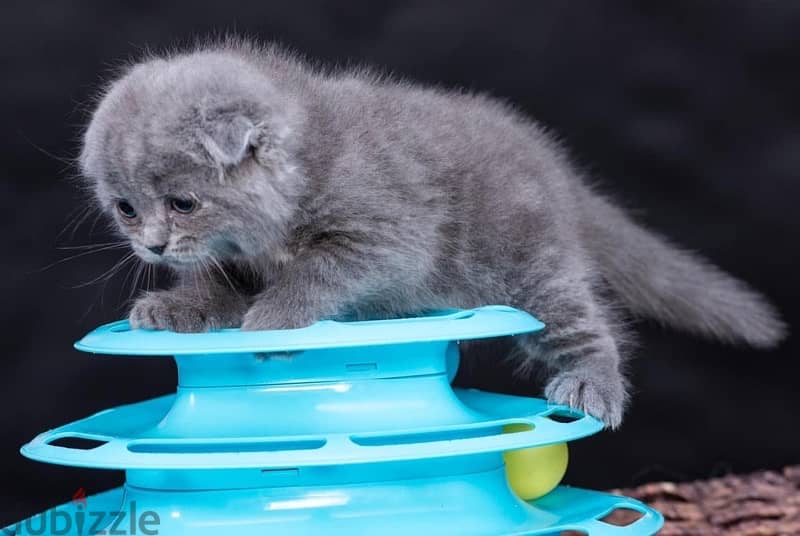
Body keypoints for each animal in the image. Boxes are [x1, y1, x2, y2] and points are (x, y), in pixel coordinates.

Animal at [78, 39, 784, 428]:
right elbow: (220, 284)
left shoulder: (391, 234)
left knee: (584, 324)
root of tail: (555, 168)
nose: (152, 246)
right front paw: (176, 306)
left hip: (530, 260)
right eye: (126, 208)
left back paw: (591, 387)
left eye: (183, 202)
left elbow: (322, 269)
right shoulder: (237, 259)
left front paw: (275, 317)